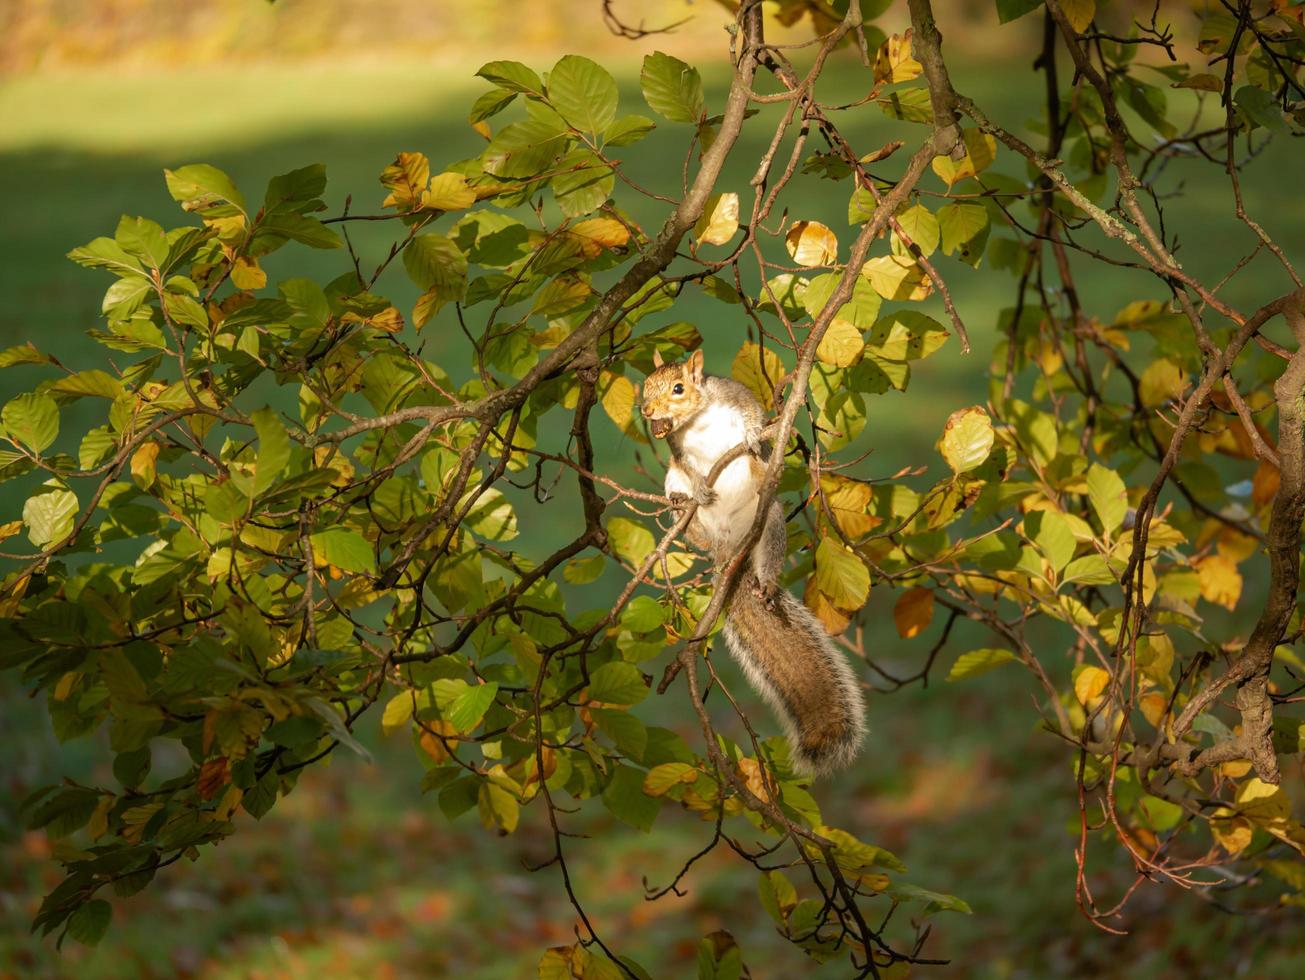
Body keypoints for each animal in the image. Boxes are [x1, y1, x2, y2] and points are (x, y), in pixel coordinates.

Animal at [639, 349, 866, 777]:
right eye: (644, 386)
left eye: (678, 388)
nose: (646, 411)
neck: (696, 419)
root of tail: (730, 547)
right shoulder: (677, 450)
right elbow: (688, 464)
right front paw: (701, 487)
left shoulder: (735, 397)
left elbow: (752, 415)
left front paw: (748, 436)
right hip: (676, 488)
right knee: (690, 515)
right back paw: (683, 505)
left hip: (769, 516)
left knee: (770, 547)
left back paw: (766, 580)